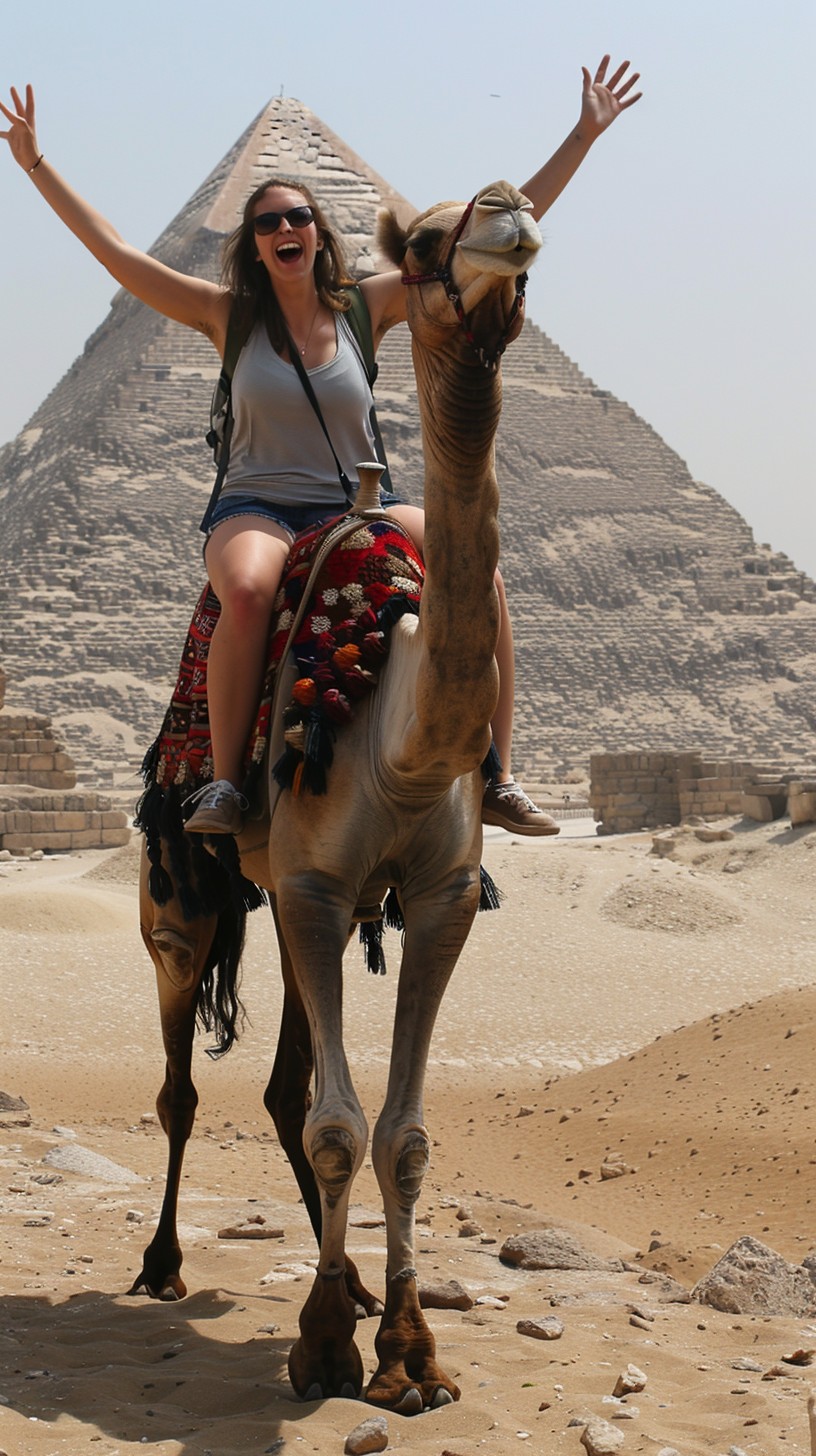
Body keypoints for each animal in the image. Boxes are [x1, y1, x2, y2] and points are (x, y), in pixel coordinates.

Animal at [133, 179, 542, 1413]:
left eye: (519, 207)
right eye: (430, 239)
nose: (510, 210)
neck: (395, 735)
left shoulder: (439, 897)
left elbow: (398, 1132)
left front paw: (407, 1348)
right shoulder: (315, 889)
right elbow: (336, 1124)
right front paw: (320, 1345)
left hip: (294, 902)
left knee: (281, 1084)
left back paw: (356, 1284)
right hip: (189, 895)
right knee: (184, 1080)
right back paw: (164, 1263)